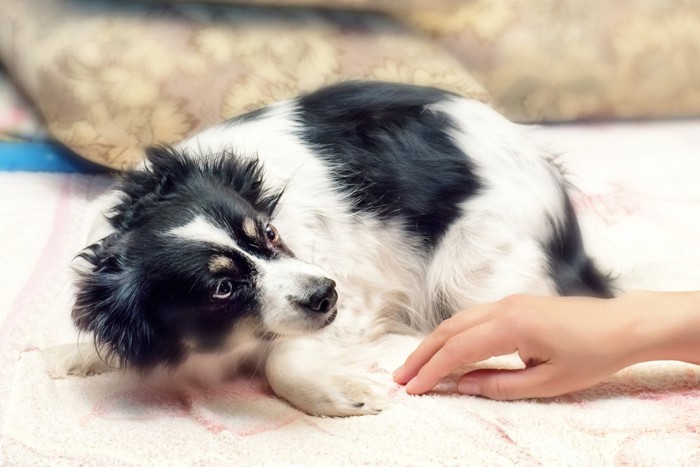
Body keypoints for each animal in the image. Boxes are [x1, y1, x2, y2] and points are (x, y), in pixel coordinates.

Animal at [56, 80, 612, 416]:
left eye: (269, 234)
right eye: (222, 289)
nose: (326, 293)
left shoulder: (356, 301)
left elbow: (283, 363)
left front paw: (340, 395)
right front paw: (77, 355)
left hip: (472, 272)